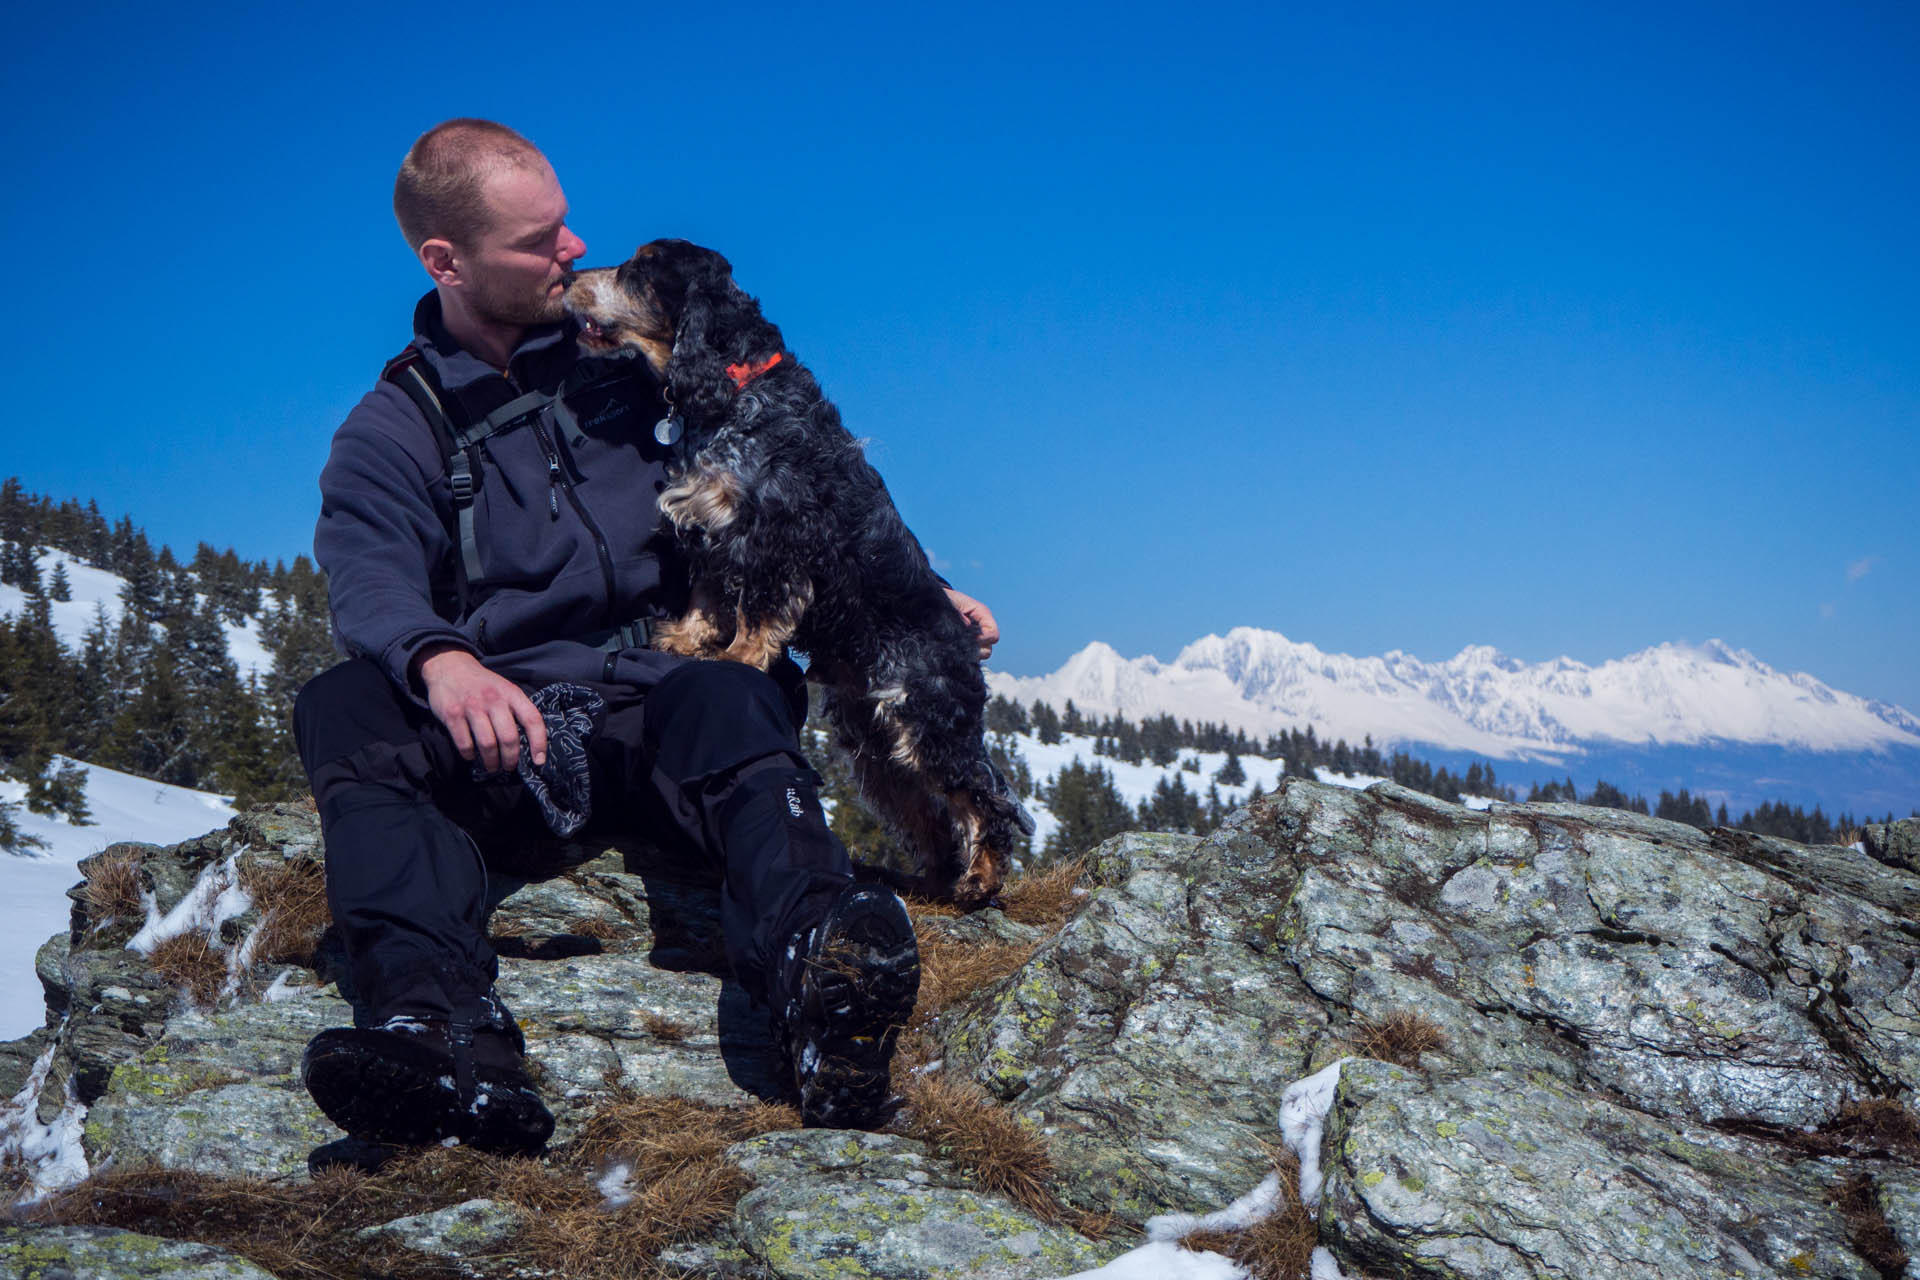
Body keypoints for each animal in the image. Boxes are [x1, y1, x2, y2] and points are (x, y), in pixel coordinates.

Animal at [560, 237, 1029, 901]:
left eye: (639, 268)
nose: (569, 277)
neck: (735, 392)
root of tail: (964, 645)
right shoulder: (712, 531)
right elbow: (707, 598)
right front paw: (683, 641)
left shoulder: (778, 537)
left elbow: (760, 612)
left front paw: (736, 658)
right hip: (875, 740)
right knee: (925, 811)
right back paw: (937, 879)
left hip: (925, 716)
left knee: (984, 796)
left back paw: (980, 881)